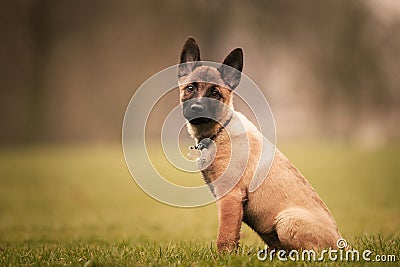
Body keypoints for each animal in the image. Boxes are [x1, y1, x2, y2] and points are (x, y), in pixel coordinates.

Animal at [177, 37, 340, 253]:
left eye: (215, 92)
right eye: (190, 88)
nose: (197, 108)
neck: (219, 131)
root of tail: (342, 244)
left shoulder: (230, 197)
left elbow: (225, 236)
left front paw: (224, 257)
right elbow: (232, 234)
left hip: (286, 221)